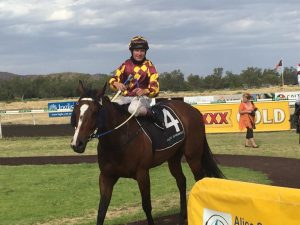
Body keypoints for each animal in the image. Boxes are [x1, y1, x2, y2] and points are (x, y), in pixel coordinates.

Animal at [70, 81, 224, 225]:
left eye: (95, 111)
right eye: (76, 110)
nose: (77, 143)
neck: (119, 141)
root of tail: (193, 109)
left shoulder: (142, 174)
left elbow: (146, 205)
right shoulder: (106, 176)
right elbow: (102, 210)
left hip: (193, 156)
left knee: (200, 180)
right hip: (173, 157)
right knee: (181, 181)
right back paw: (182, 216)